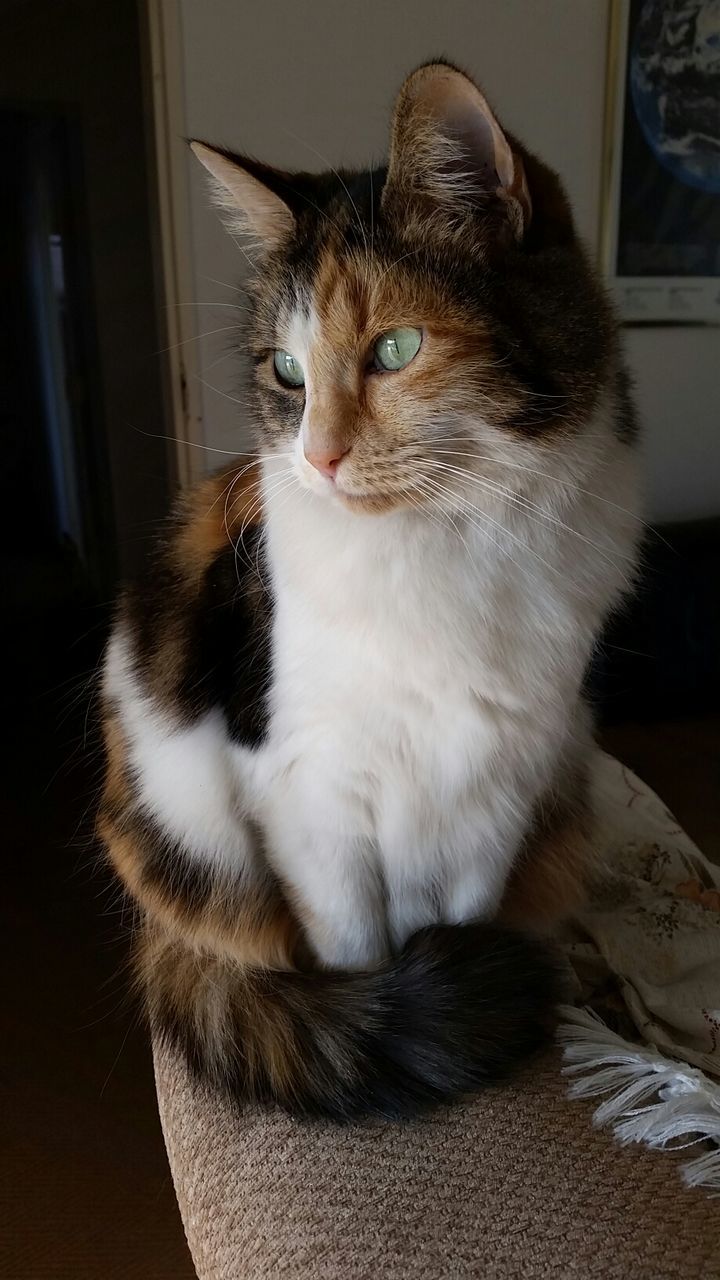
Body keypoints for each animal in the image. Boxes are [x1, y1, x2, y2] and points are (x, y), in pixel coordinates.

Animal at [96, 62, 638, 1121]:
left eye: (395, 349)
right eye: (286, 372)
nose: (317, 459)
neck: (445, 546)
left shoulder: (499, 785)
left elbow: (456, 919)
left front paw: (457, 973)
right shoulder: (307, 791)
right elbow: (357, 950)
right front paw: (396, 1006)